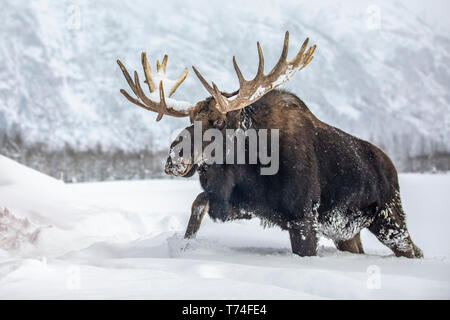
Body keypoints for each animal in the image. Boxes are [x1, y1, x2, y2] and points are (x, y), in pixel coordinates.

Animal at [118, 31, 424, 258]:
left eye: (219, 120)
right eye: (192, 118)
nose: (174, 159)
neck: (253, 162)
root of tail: (391, 166)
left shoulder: (303, 219)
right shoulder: (243, 204)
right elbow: (200, 203)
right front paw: (185, 245)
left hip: (390, 218)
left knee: (413, 249)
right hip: (347, 232)